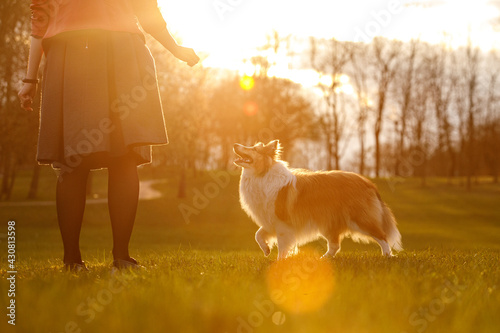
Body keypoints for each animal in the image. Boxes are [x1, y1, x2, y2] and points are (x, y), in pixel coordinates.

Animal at [234, 139, 402, 258]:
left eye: (254, 149)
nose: (235, 145)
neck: (262, 174)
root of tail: (368, 183)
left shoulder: (282, 224)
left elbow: (282, 247)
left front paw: (279, 263)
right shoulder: (270, 221)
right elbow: (258, 235)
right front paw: (266, 250)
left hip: (360, 219)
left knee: (382, 236)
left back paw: (387, 255)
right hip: (329, 222)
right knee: (334, 246)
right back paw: (323, 259)